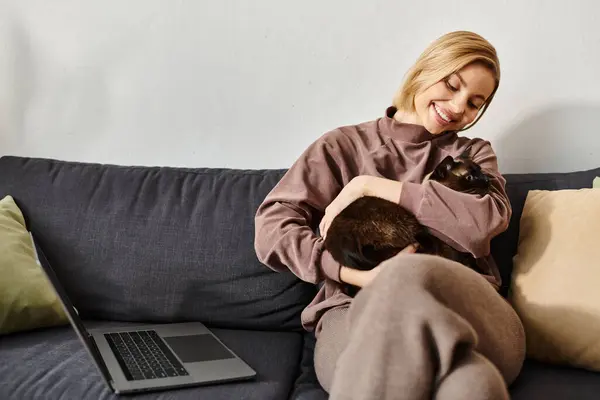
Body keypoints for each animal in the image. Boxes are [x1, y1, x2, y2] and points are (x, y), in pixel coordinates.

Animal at [324, 148, 492, 296]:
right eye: (469, 178)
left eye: (480, 170)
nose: (487, 180)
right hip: (402, 225)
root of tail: (337, 240)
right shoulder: (454, 254)